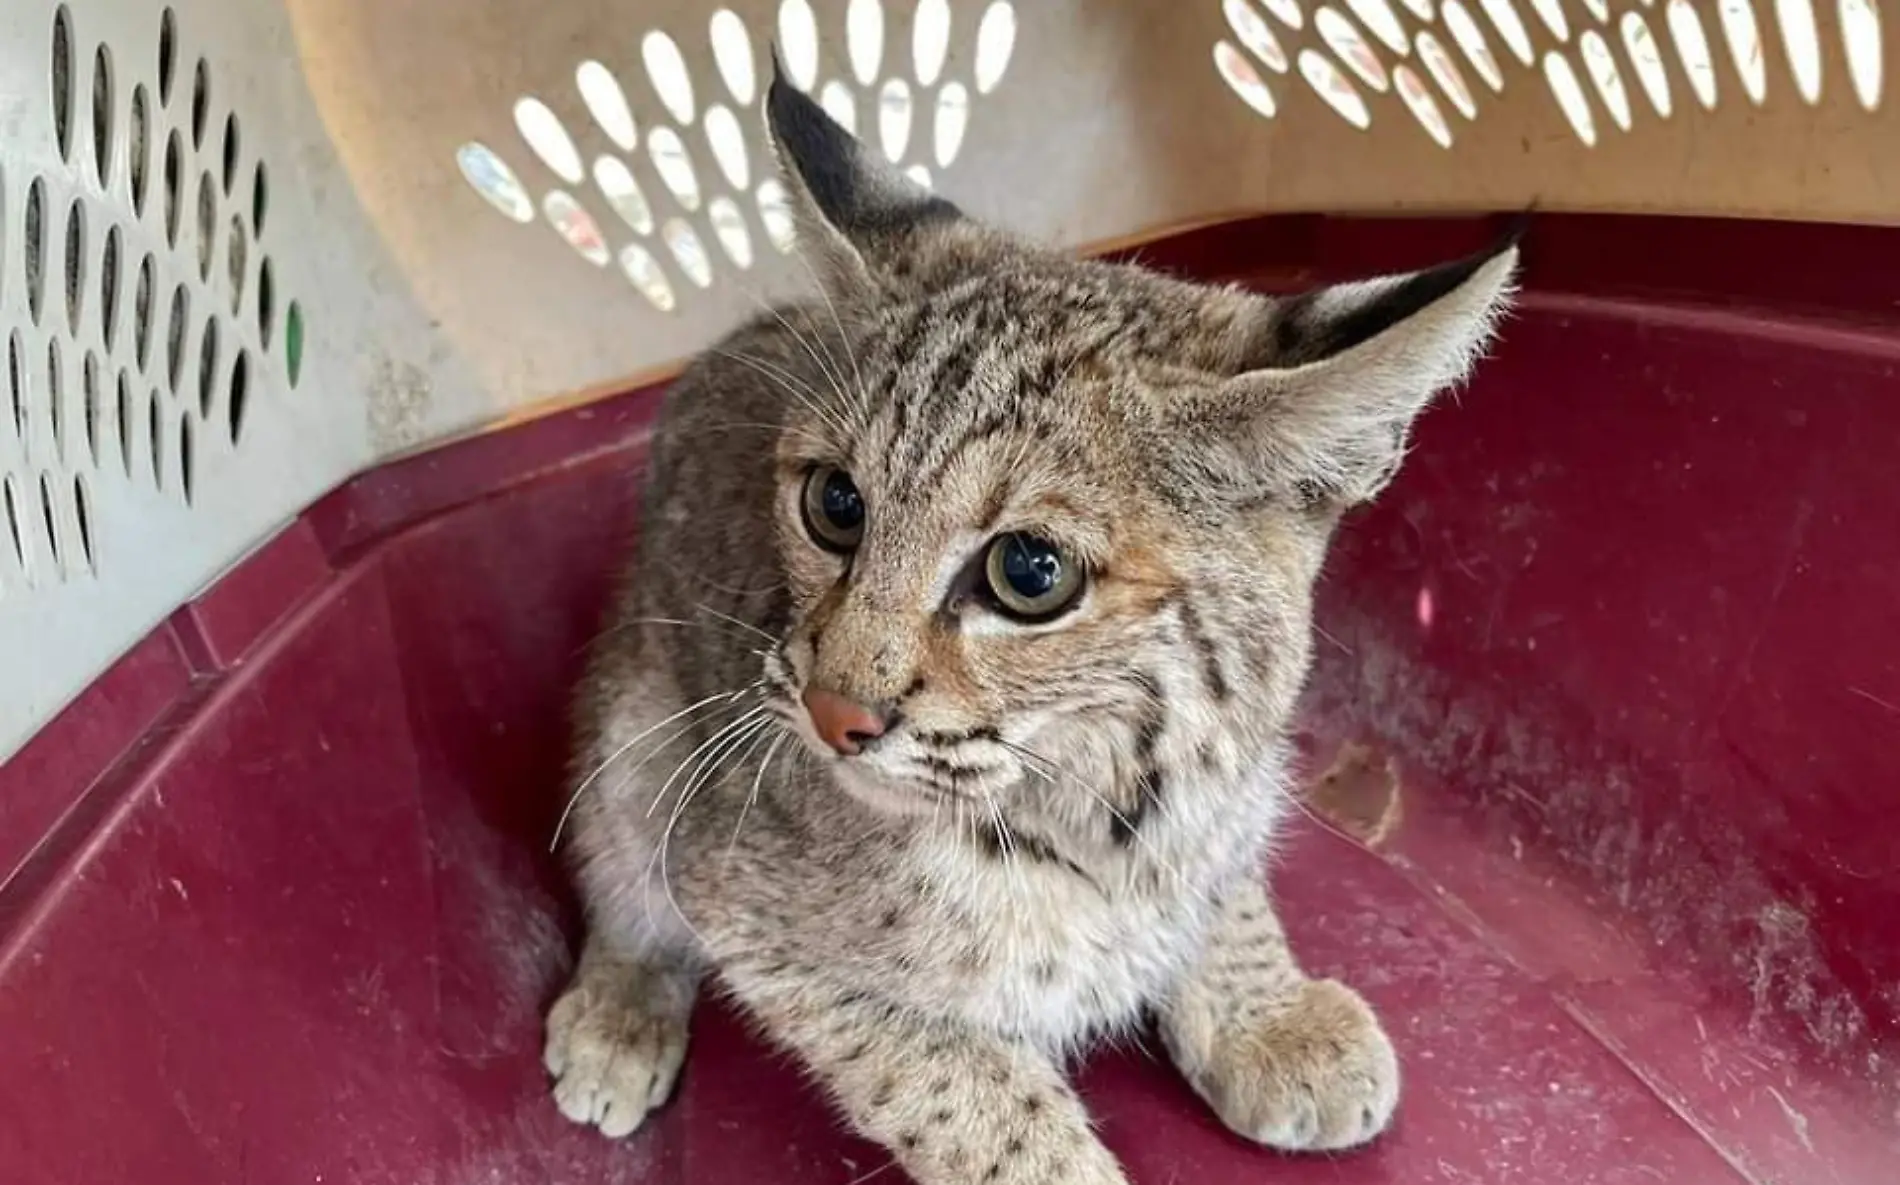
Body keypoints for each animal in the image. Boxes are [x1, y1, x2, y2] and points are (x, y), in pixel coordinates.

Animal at [543, 74, 1520, 1185]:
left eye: (1030, 574)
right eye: (835, 505)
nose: (833, 715)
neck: (1096, 800)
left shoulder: (1236, 776)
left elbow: (1220, 884)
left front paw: (1264, 1018)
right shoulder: (745, 903)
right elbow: (963, 1089)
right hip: (639, 721)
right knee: (619, 849)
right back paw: (619, 1012)